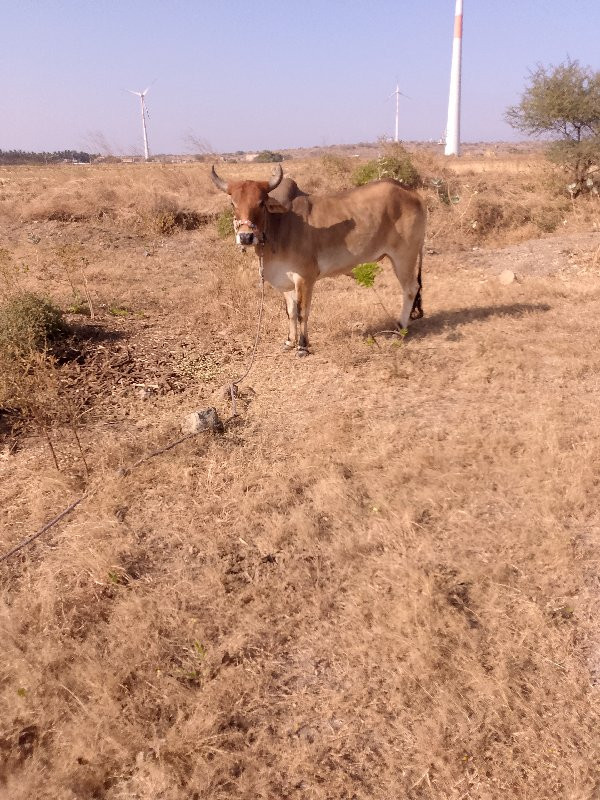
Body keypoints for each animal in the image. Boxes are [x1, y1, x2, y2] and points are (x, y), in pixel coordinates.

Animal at [211, 164, 426, 354]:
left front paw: (302, 346)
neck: (279, 227)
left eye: (261, 203)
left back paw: (400, 327)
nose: (246, 237)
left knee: (410, 289)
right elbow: (290, 312)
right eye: (233, 203)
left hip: (403, 256)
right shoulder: (286, 281)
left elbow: (302, 312)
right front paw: (289, 341)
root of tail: (412, 194)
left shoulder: (305, 278)